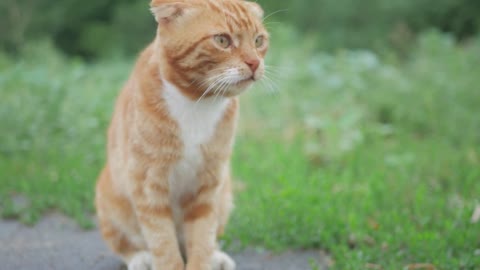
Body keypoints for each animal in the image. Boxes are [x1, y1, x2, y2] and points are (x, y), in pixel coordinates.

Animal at [95, 0, 268, 270]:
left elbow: (202, 236)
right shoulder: (148, 184)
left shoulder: (209, 182)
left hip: (225, 194)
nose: (254, 63)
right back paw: (140, 258)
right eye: (222, 40)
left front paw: (203, 261)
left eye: (259, 41)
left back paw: (216, 257)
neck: (197, 103)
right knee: (124, 243)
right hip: (109, 196)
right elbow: (162, 243)